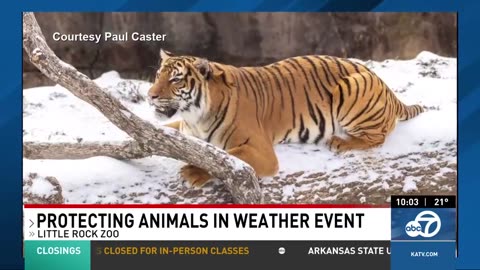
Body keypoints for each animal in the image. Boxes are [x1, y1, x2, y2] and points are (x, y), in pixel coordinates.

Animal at [147, 49, 424, 188]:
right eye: (158, 75)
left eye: (176, 79)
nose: (150, 96)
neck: (195, 117)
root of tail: (383, 84)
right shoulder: (184, 127)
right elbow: (164, 131)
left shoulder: (259, 150)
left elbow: (227, 159)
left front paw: (192, 172)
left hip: (353, 87)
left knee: (377, 136)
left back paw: (341, 142)